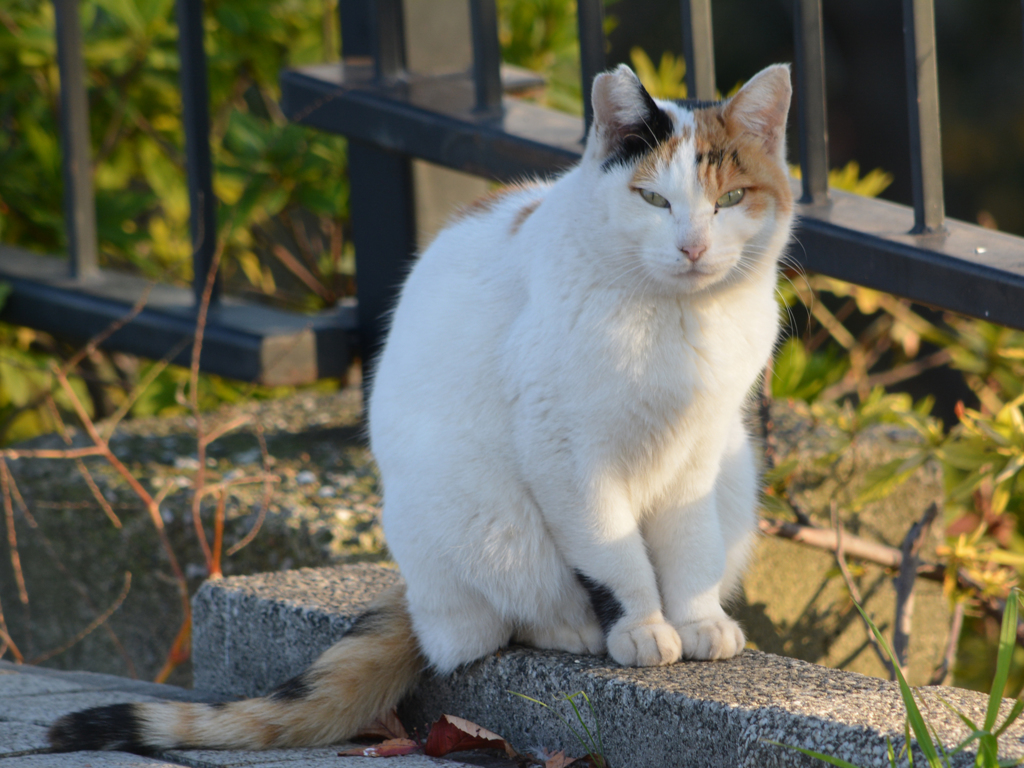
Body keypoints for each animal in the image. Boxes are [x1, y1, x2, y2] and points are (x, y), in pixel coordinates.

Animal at [51, 63, 794, 753]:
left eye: (731, 198)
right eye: (652, 198)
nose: (693, 247)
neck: (679, 319)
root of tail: (411, 591)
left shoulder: (699, 451)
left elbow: (690, 545)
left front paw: (696, 621)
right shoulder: (566, 452)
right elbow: (615, 556)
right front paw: (641, 626)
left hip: (738, 472)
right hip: (481, 517)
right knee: (488, 622)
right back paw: (570, 626)